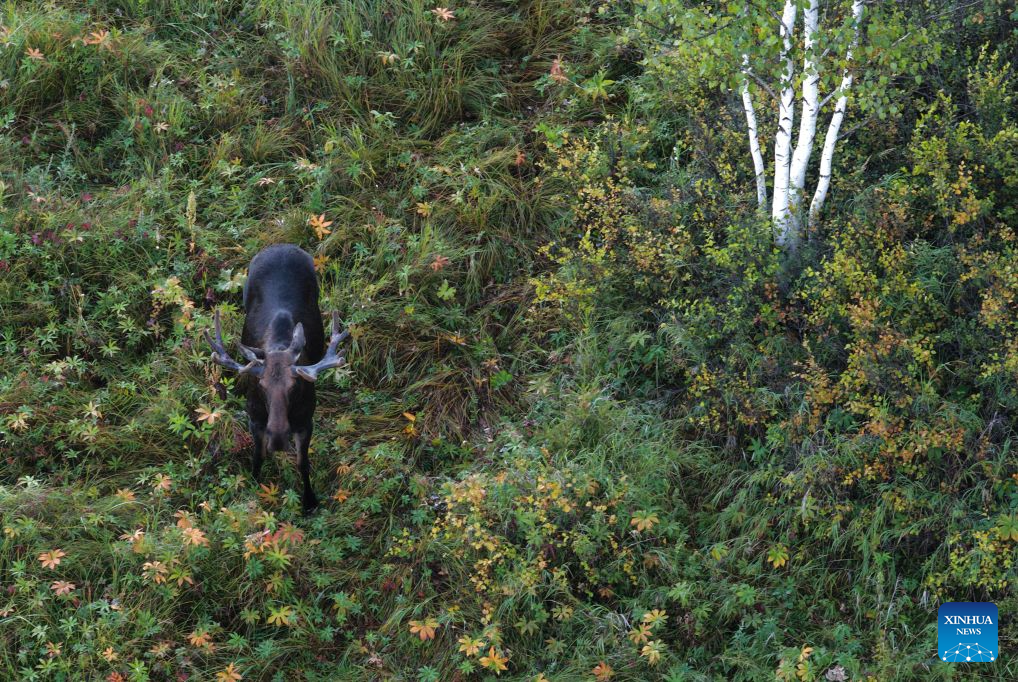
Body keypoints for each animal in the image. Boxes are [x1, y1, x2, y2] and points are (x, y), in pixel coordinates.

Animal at [205, 244, 348, 514]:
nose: (279, 438)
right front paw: (253, 486)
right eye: (261, 386)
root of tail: (282, 246)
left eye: (295, 387)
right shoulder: (255, 417)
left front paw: (309, 501)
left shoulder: (305, 420)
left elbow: (303, 463)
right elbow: (257, 456)